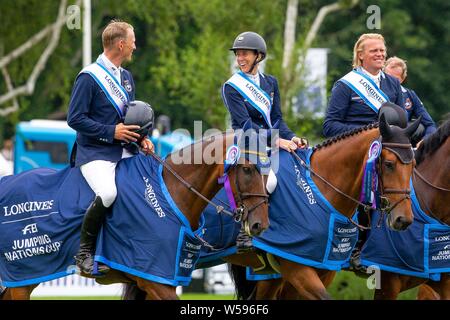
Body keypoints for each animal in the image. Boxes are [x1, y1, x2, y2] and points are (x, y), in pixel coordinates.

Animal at [0, 131, 270, 300]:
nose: (261, 224)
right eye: (247, 169)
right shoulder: (156, 280)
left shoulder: (154, 279)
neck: (170, 192)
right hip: (23, 275)